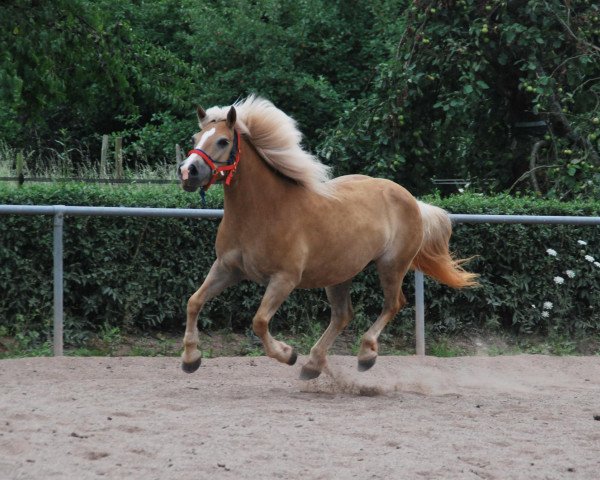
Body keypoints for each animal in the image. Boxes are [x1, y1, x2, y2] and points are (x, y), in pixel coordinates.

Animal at [176, 94, 476, 378]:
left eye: (223, 141)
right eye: (195, 138)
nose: (187, 171)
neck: (262, 212)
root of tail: (411, 199)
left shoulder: (284, 279)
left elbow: (259, 321)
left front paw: (288, 354)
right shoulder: (226, 268)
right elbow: (193, 302)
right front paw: (191, 358)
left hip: (392, 266)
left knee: (393, 304)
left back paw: (365, 354)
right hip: (339, 274)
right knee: (343, 315)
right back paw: (313, 365)